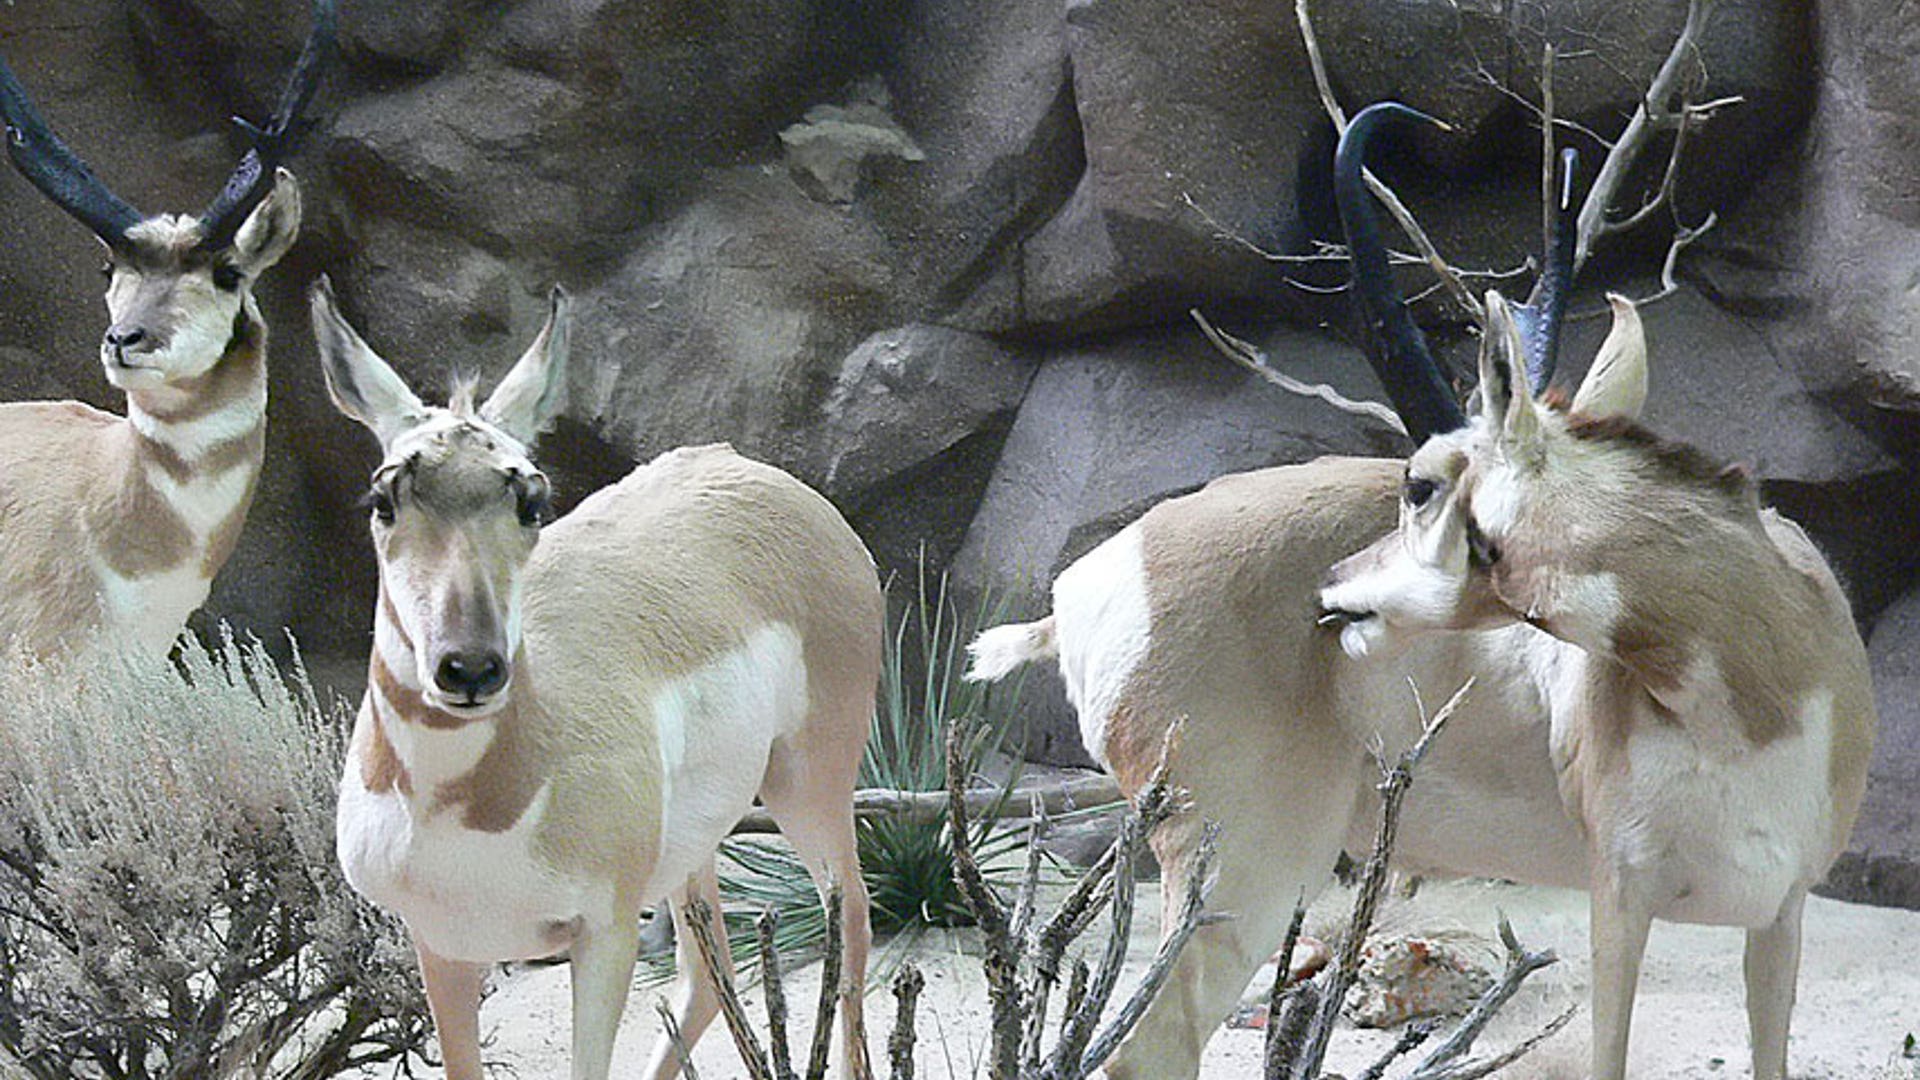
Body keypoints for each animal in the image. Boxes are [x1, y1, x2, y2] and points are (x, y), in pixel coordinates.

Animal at [313, 278, 883, 1080]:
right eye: (383, 500)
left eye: (532, 499)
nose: (470, 667)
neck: (470, 803)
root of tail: (761, 476)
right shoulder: (444, 949)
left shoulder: (604, 935)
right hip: (695, 849)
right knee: (708, 975)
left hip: (807, 785)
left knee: (853, 921)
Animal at [966, 103, 1873, 1080]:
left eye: (1421, 484)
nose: (1331, 589)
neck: (1754, 693)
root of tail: (1090, 581)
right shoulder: (1620, 898)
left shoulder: (1780, 914)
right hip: (1244, 876)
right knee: (1147, 1050)